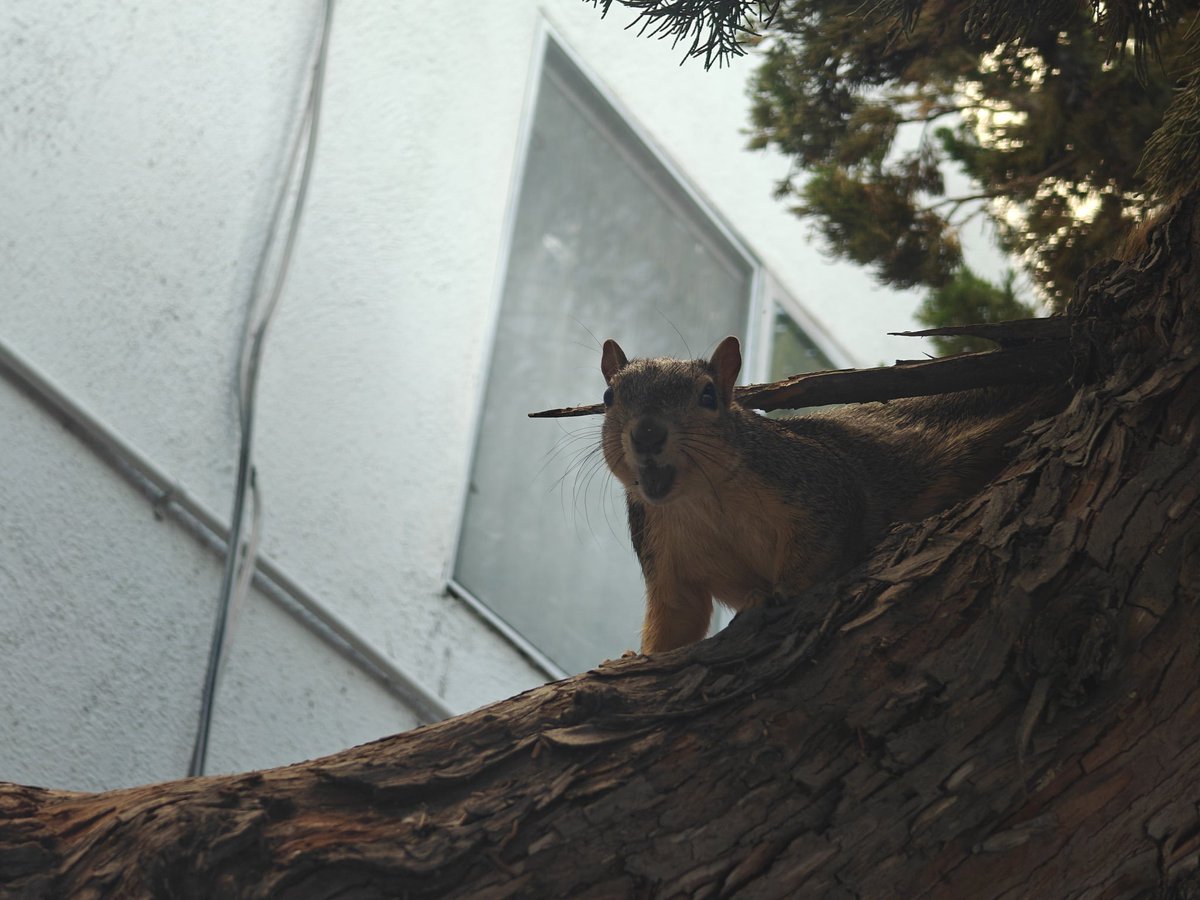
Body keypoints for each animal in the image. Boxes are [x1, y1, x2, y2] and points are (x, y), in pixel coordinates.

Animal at [600, 335, 1063, 654]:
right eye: (609, 396)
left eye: (708, 395)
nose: (647, 433)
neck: (696, 499)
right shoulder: (663, 554)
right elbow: (679, 618)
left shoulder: (816, 484)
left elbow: (824, 542)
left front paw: (779, 594)